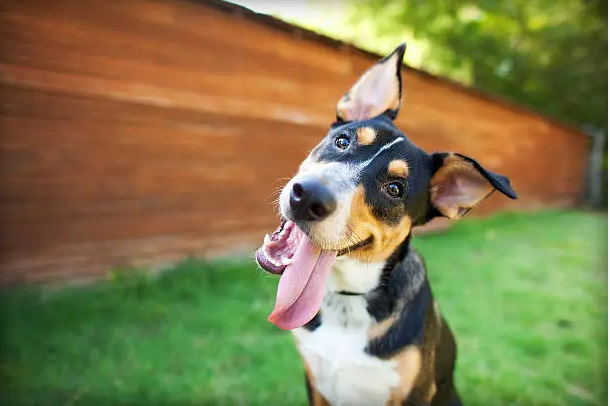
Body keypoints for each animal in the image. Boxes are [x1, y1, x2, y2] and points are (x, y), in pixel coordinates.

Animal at [254, 44, 516, 406]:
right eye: (342, 141)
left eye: (394, 189)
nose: (307, 197)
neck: (348, 301)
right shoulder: (315, 381)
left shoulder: (414, 393)